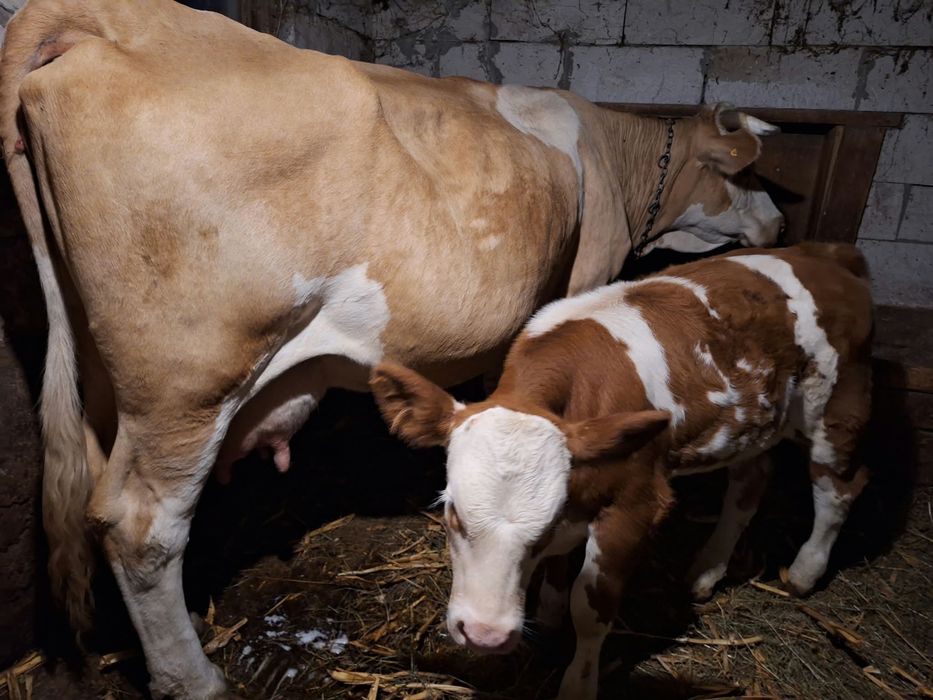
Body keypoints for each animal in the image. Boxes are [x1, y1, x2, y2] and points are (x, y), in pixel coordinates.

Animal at [0, 0, 782, 696]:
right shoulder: (588, 272)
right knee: (142, 526)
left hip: (107, 368)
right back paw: (192, 679)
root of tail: (117, 17)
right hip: (188, 379)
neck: (608, 150)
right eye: (741, 173)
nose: (776, 221)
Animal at [371, 243, 873, 700]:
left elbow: (590, 607)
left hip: (837, 409)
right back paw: (705, 573)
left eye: (544, 526)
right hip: (752, 427)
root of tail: (831, 256)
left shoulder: (636, 503)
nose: (484, 635)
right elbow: (557, 574)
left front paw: (577, 684)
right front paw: (548, 618)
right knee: (749, 487)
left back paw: (805, 572)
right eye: (452, 514)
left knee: (839, 488)